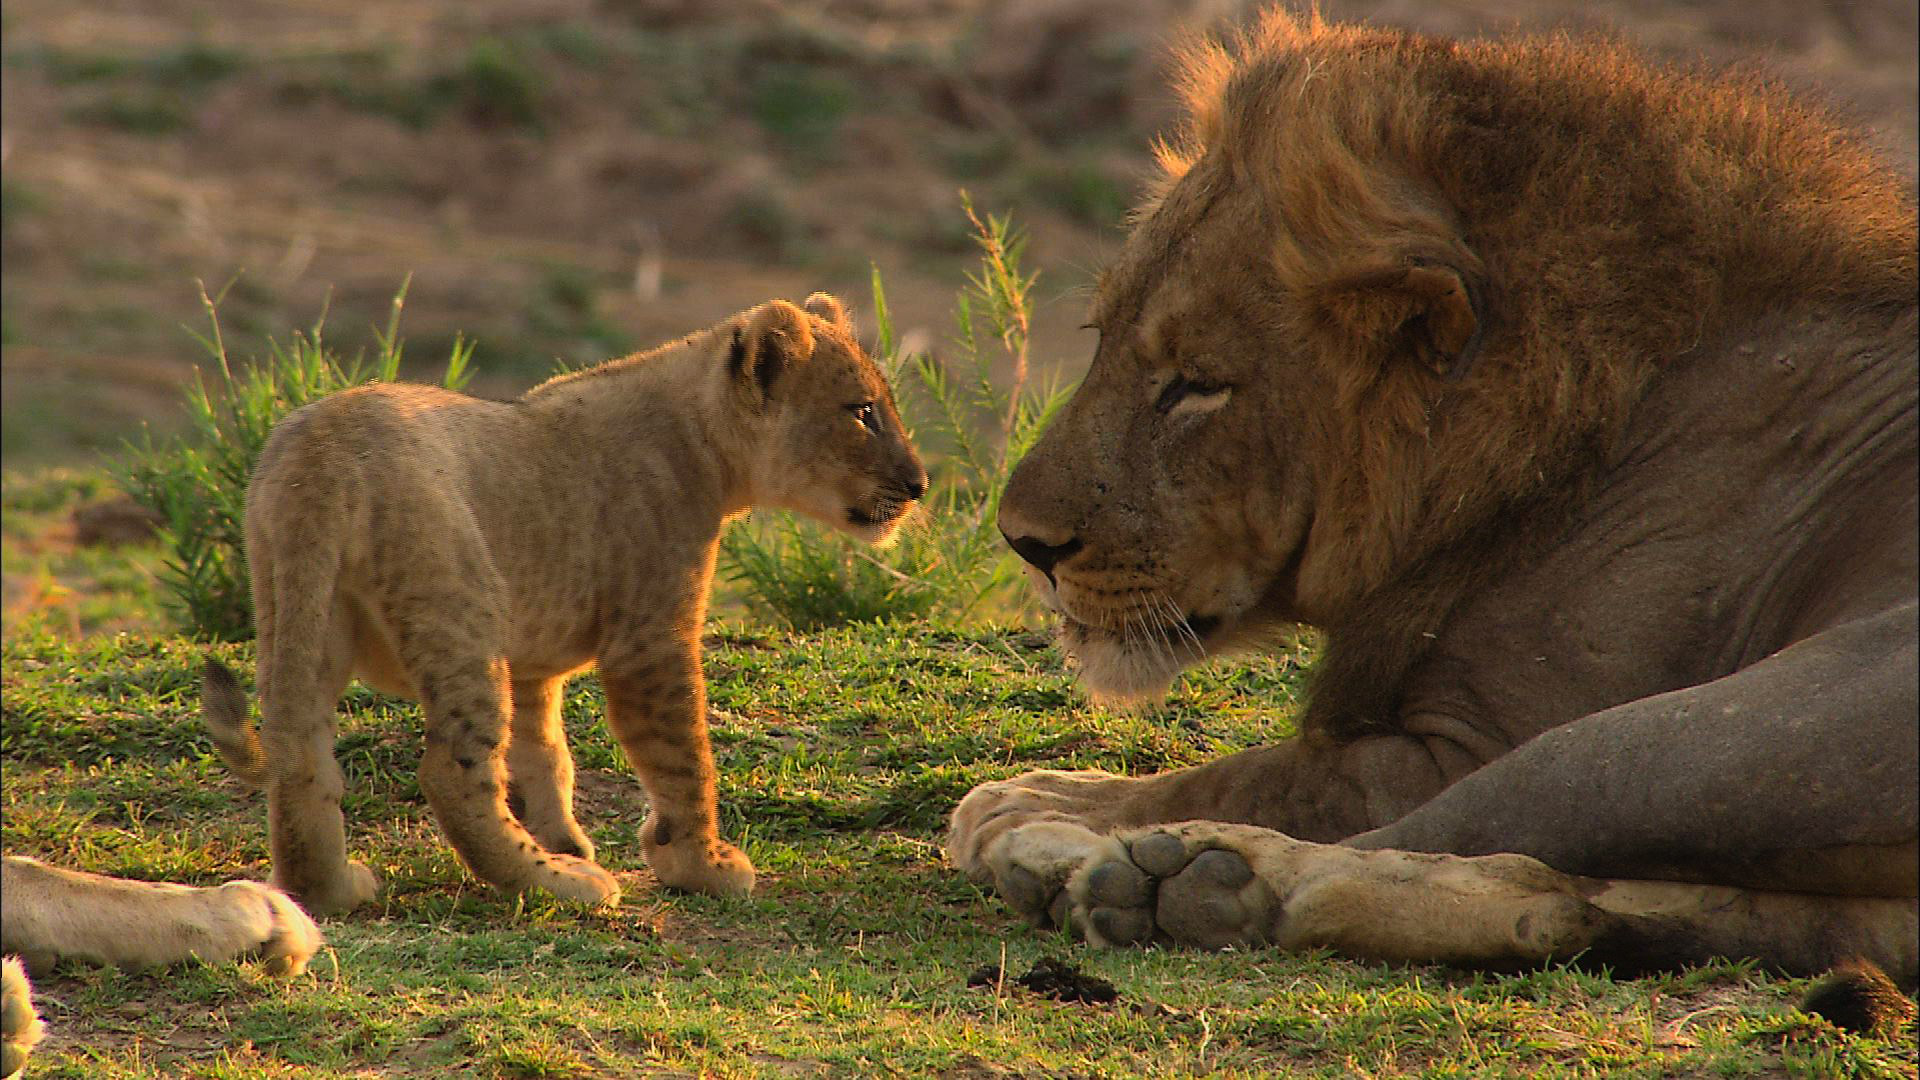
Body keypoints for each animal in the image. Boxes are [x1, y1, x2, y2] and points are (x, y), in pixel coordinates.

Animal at [948, 10, 1920, 983]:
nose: (1024, 544)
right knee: (1580, 902)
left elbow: (1267, 775)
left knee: (1461, 835)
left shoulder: (1472, 740)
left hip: (1706, 738)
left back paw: (1109, 858)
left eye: (1195, 385)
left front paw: (1046, 800)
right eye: (1101, 335)